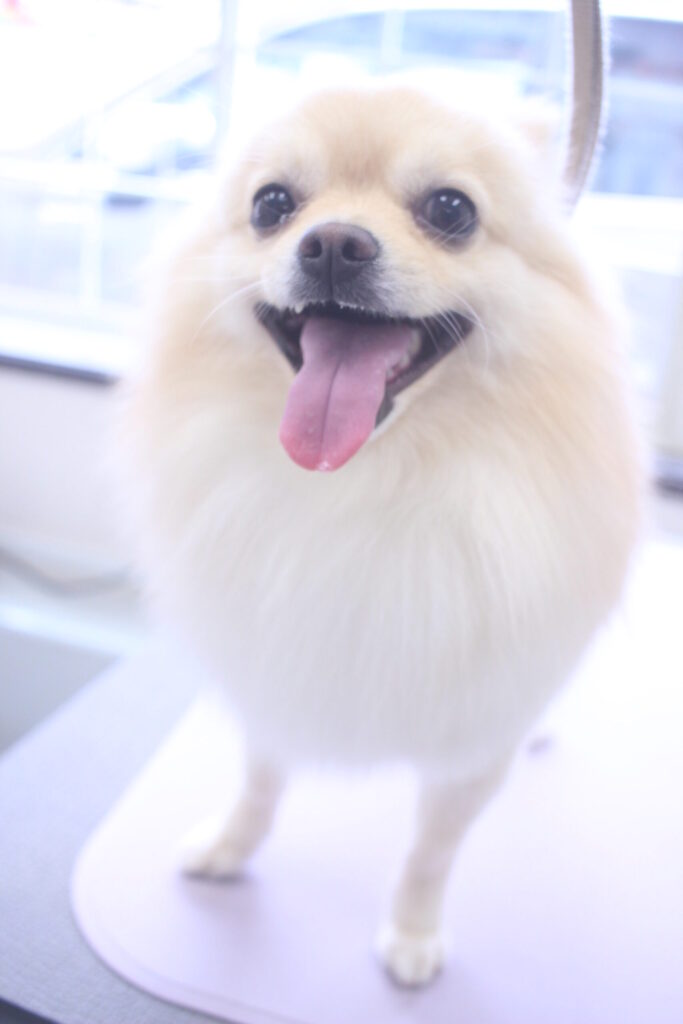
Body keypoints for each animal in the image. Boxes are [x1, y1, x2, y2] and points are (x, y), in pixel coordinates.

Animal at [120, 86, 642, 986]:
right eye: (271, 205)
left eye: (450, 209)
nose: (333, 243)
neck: (365, 478)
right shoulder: (273, 663)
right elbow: (260, 781)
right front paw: (231, 846)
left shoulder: (473, 741)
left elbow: (430, 851)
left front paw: (412, 934)